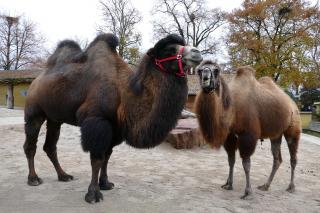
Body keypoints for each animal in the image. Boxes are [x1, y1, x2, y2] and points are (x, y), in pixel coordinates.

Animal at [23, 33, 202, 203]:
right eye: (169, 49)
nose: (197, 52)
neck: (125, 94)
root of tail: (36, 81)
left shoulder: (115, 128)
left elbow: (107, 156)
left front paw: (105, 184)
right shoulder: (97, 121)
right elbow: (97, 158)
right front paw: (93, 194)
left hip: (55, 118)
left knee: (50, 146)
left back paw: (63, 175)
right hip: (34, 113)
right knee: (30, 145)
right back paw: (33, 179)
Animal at [194, 60, 302, 200]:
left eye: (216, 70)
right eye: (199, 70)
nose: (206, 77)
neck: (232, 109)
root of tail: (293, 104)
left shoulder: (248, 135)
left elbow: (246, 164)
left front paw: (247, 192)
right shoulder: (230, 136)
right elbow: (231, 160)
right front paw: (228, 184)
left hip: (292, 129)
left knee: (293, 158)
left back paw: (291, 187)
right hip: (276, 134)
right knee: (277, 159)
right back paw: (265, 185)